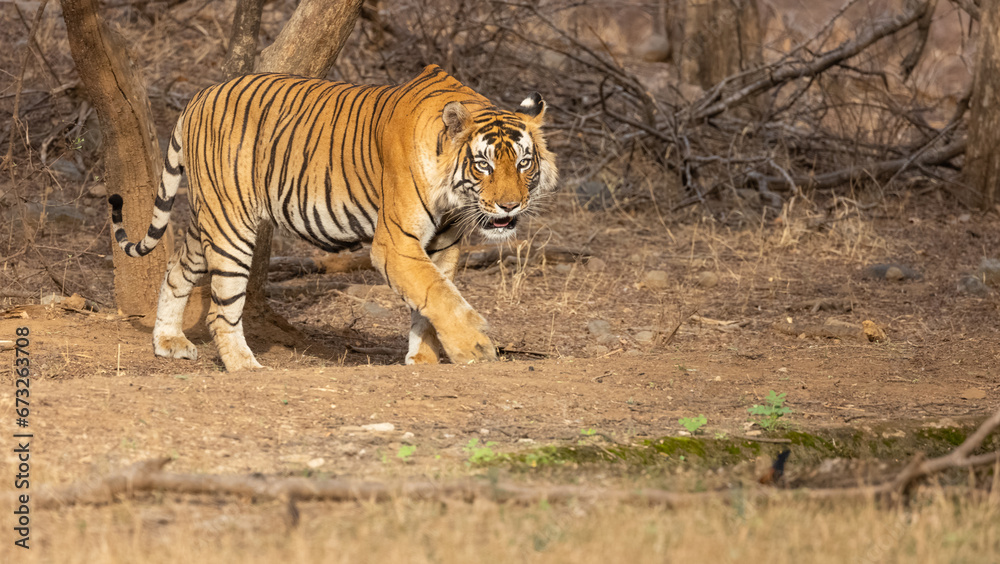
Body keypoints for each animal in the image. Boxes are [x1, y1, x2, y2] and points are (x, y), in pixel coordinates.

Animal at [108, 65, 558, 372]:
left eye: (523, 163)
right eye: (483, 165)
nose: (510, 206)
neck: (453, 194)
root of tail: (200, 96)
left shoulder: (443, 244)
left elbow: (431, 302)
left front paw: (424, 360)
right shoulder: (395, 243)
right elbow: (438, 294)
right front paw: (476, 348)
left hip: (210, 220)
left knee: (175, 267)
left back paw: (168, 340)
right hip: (230, 224)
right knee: (223, 308)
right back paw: (243, 365)